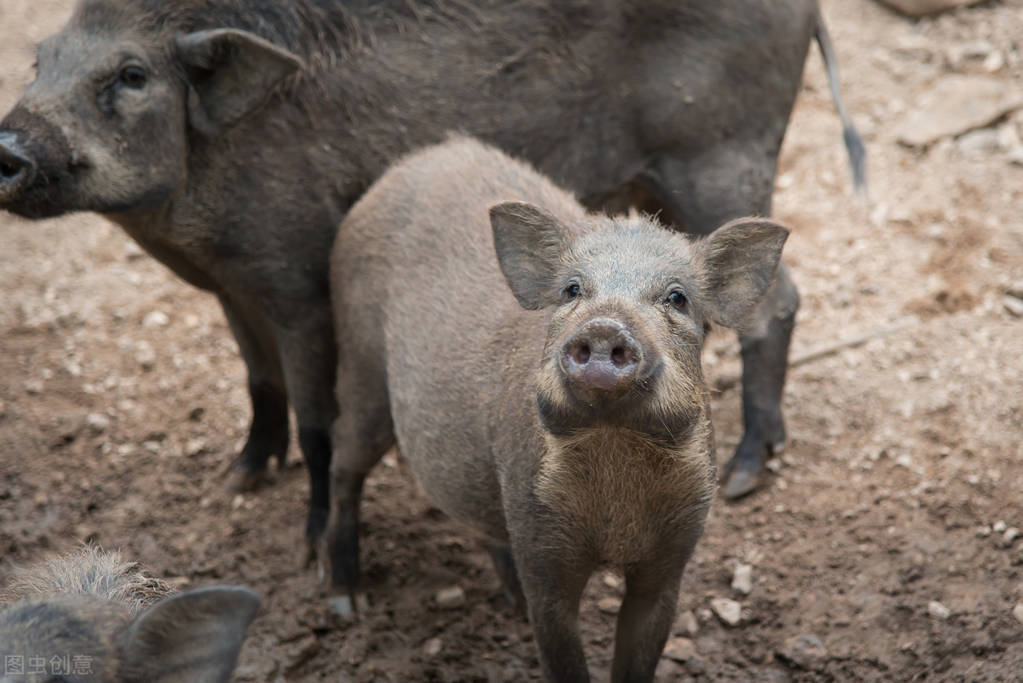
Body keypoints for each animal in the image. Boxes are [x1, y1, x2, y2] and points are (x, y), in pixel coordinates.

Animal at [0, 0, 863, 556]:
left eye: (131, 75)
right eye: (40, 61)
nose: (10, 144)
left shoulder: (298, 283)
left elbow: (318, 419)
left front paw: (309, 548)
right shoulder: (233, 285)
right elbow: (257, 378)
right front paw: (238, 478)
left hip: (721, 156)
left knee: (775, 302)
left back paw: (745, 472)